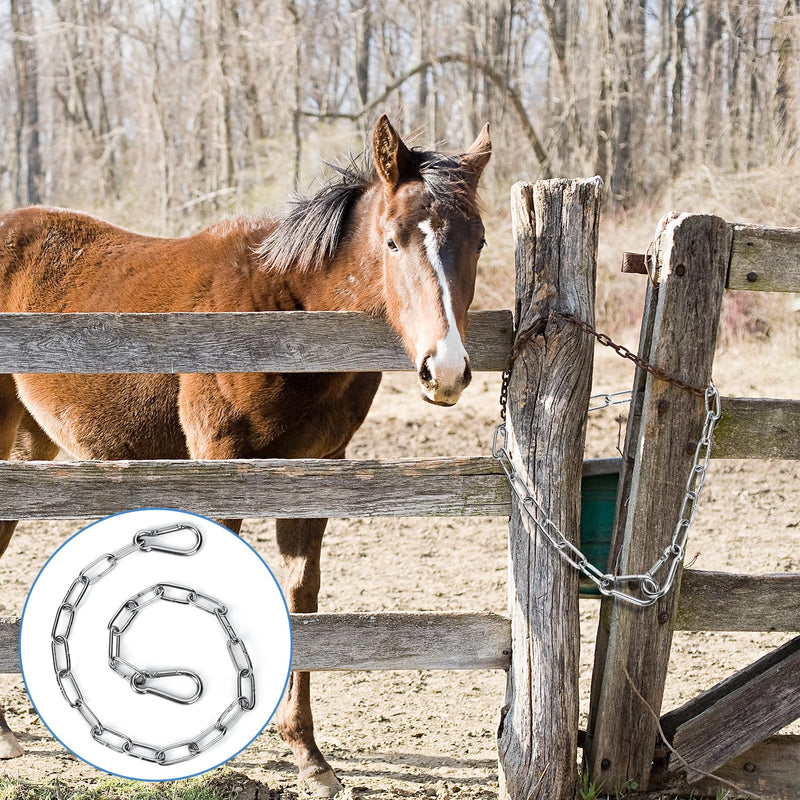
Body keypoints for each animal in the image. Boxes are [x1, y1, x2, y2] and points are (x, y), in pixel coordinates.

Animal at [0, 114, 491, 795]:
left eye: (479, 241)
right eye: (393, 242)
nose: (444, 370)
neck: (286, 309)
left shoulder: (317, 471)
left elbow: (301, 596)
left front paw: (308, 754)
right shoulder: (219, 463)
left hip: (30, 446)